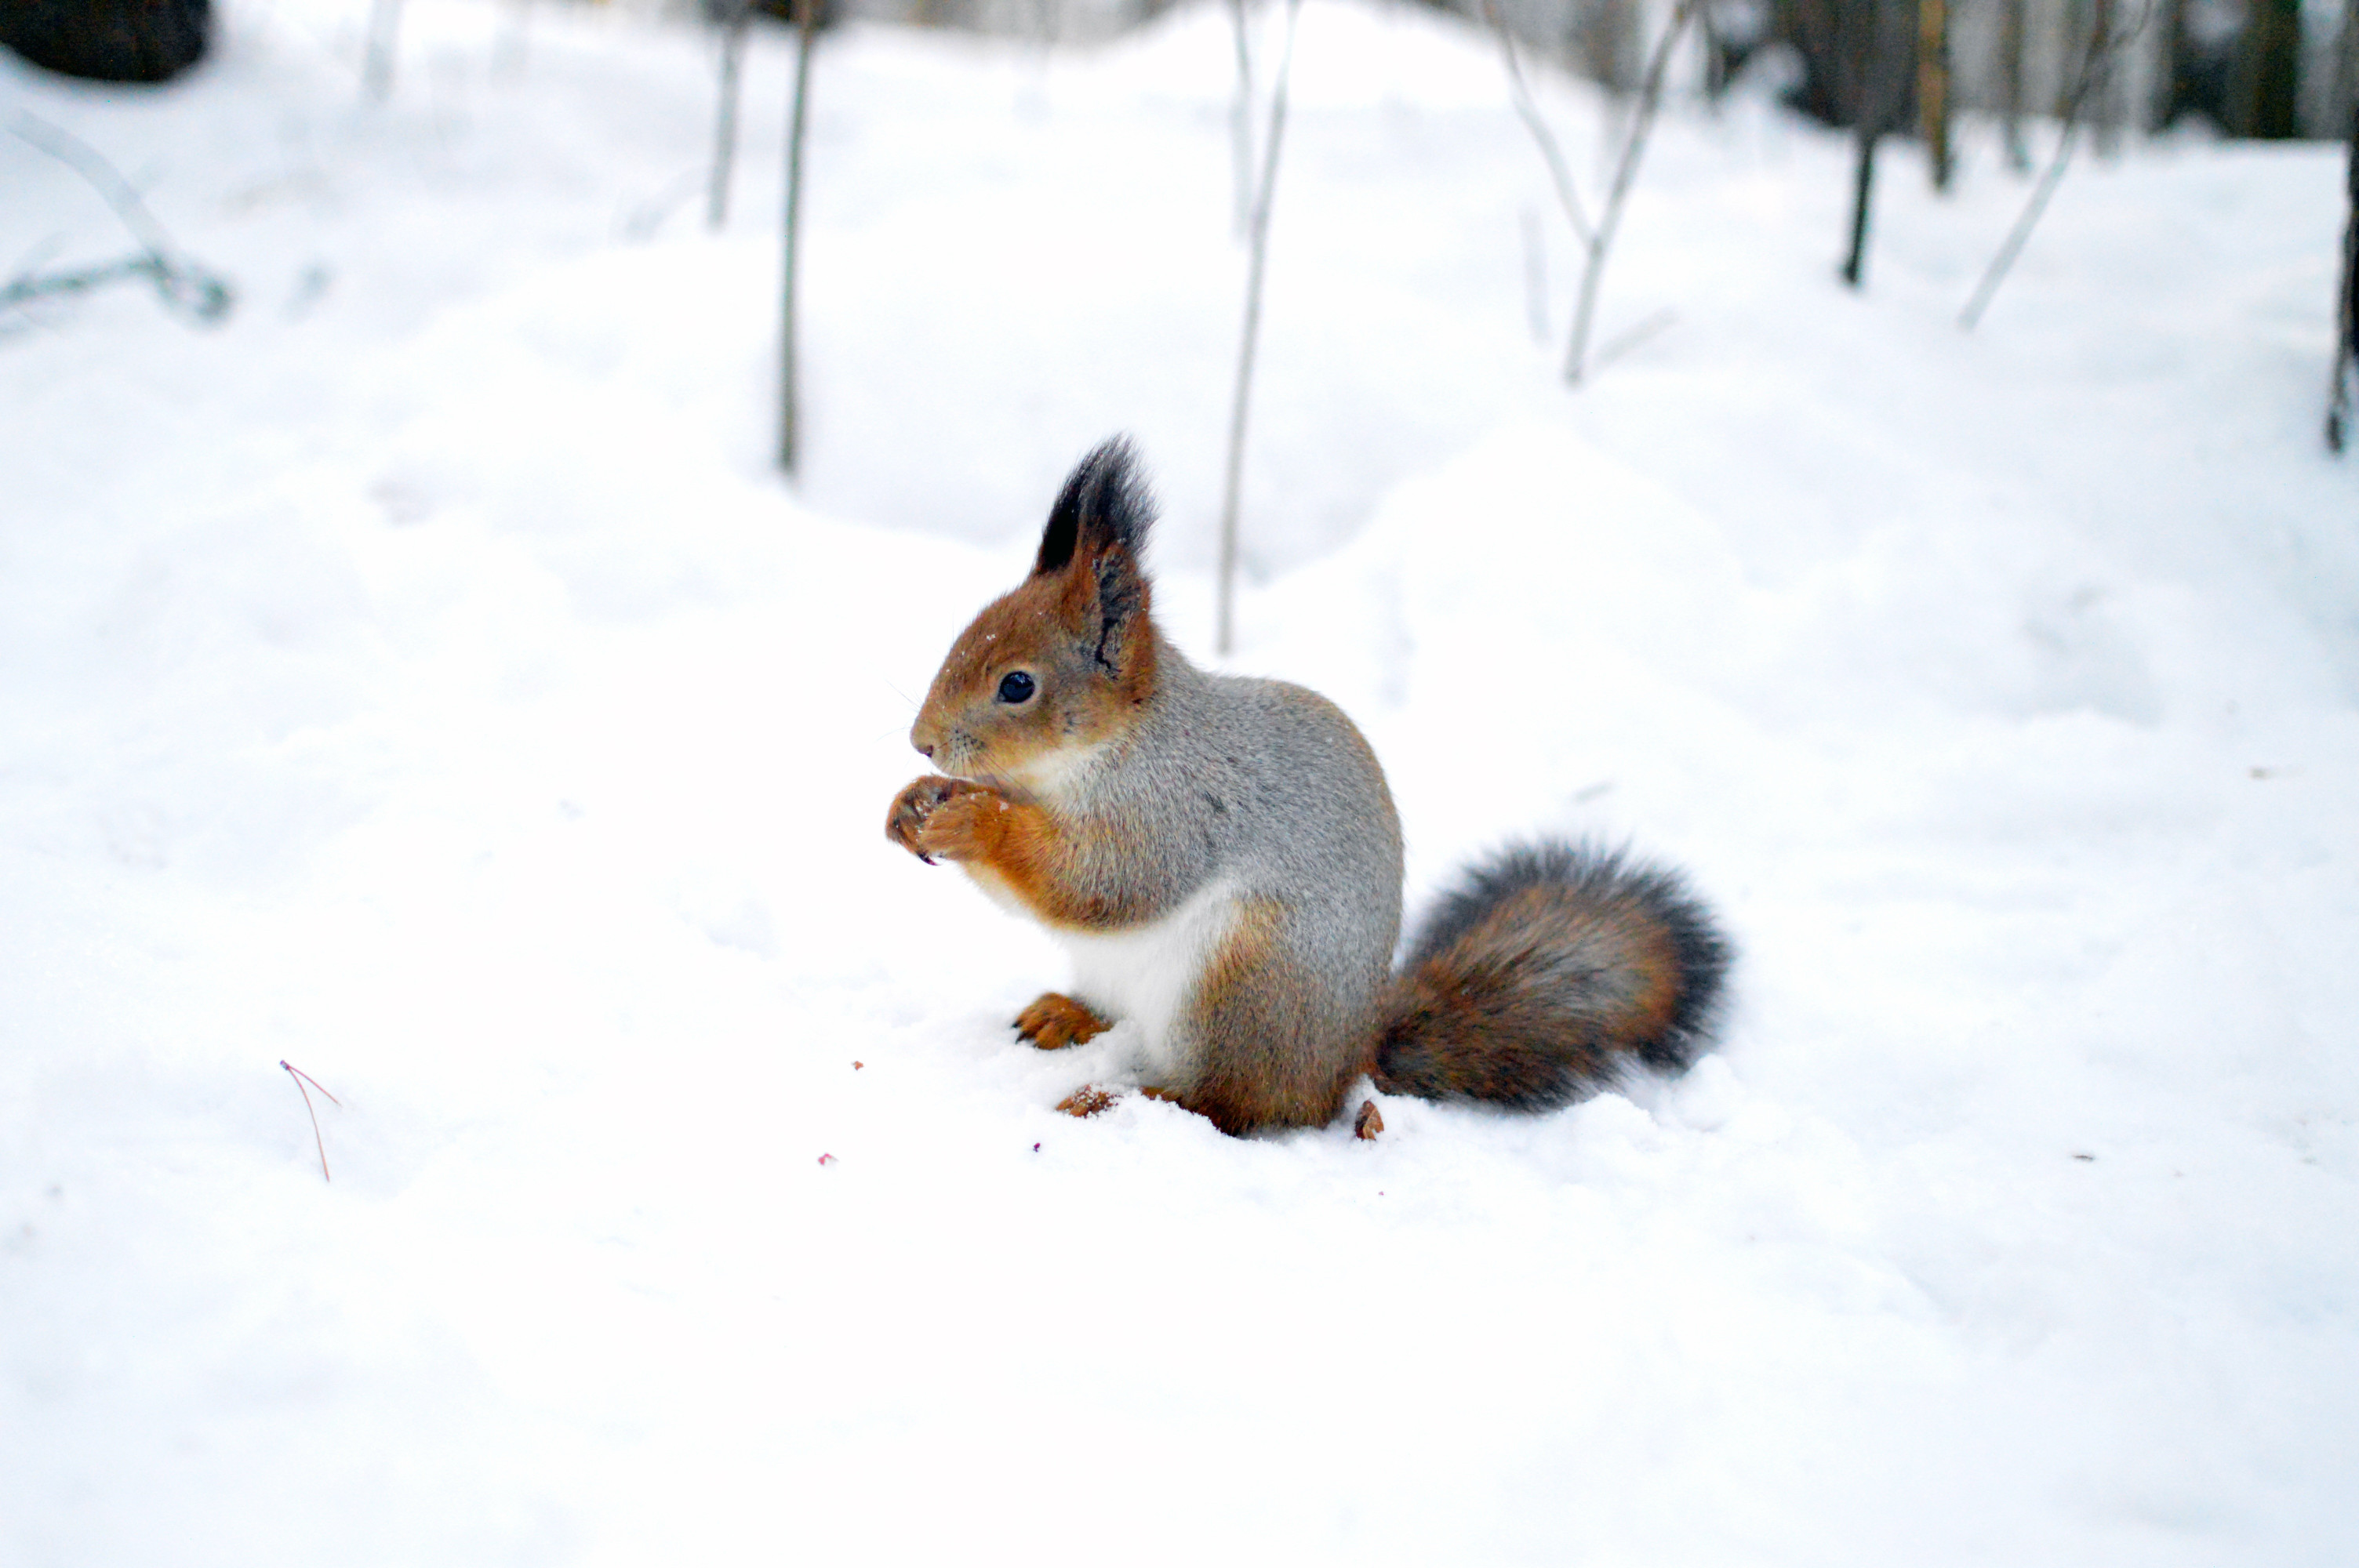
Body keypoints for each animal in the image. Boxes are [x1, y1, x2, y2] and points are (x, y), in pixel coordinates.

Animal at [887, 434, 1736, 1131]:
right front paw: (908, 808)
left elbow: (1103, 881)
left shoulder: (1179, 806)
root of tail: (1348, 1057)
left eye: (1017, 685)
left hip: (1243, 985)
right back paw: (1067, 1016)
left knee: (1239, 1105)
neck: (1081, 765)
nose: (921, 740)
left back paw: (1126, 1098)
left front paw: (974, 822)